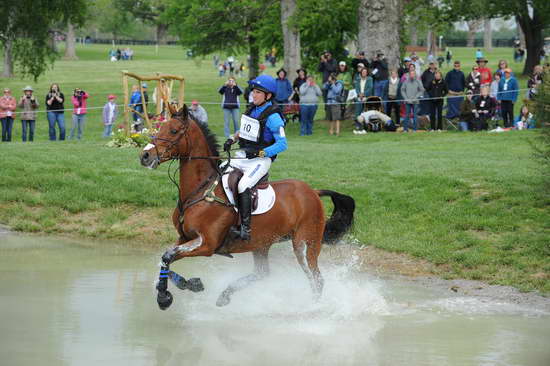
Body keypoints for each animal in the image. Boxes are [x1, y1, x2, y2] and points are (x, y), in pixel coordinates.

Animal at [140, 106, 356, 308]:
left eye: (174, 131)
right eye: (160, 127)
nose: (145, 155)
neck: (201, 190)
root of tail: (313, 192)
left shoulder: (207, 244)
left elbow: (168, 255)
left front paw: (164, 297)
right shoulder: (185, 238)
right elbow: (165, 257)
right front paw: (187, 284)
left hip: (304, 244)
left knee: (316, 278)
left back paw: (313, 309)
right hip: (262, 243)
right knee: (262, 273)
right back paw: (225, 295)